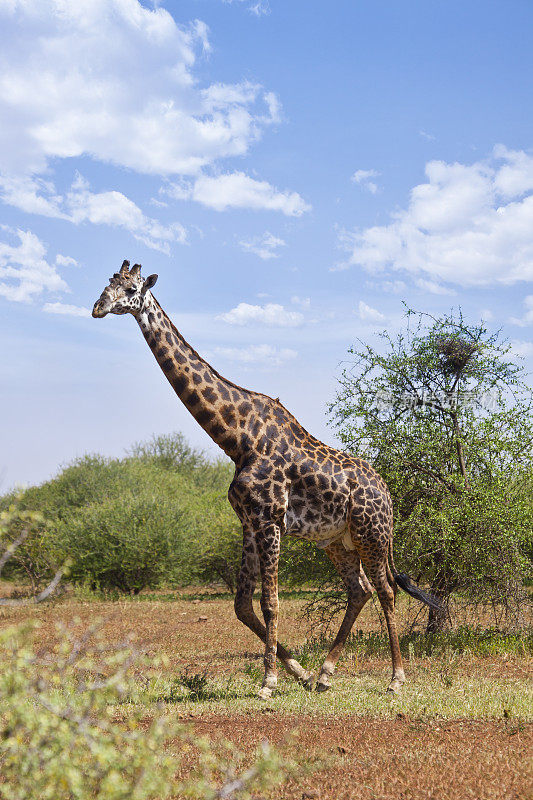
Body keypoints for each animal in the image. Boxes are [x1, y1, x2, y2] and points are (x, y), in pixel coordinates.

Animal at [92, 262, 440, 700]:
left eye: (132, 288)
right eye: (107, 282)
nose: (98, 308)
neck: (235, 438)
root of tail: (388, 492)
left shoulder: (271, 519)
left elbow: (270, 602)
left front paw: (268, 682)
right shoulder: (248, 521)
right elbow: (242, 604)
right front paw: (299, 672)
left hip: (371, 534)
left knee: (387, 591)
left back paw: (396, 678)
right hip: (336, 541)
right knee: (359, 589)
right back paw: (325, 674)